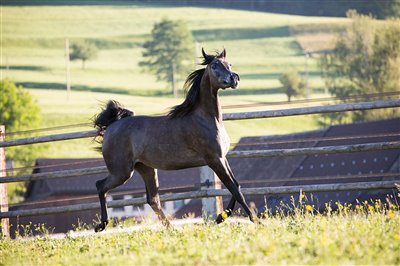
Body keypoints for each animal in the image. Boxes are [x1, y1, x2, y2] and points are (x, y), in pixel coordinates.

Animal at [93, 48, 256, 232]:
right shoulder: (214, 159)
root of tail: (112, 126)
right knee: (100, 186)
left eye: (230, 64)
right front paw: (256, 221)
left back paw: (171, 229)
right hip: (121, 172)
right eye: (214, 65)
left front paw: (221, 217)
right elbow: (234, 189)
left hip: (146, 168)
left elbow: (237, 186)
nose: (234, 78)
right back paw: (101, 225)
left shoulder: (222, 158)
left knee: (153, 200)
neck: (206, 118)